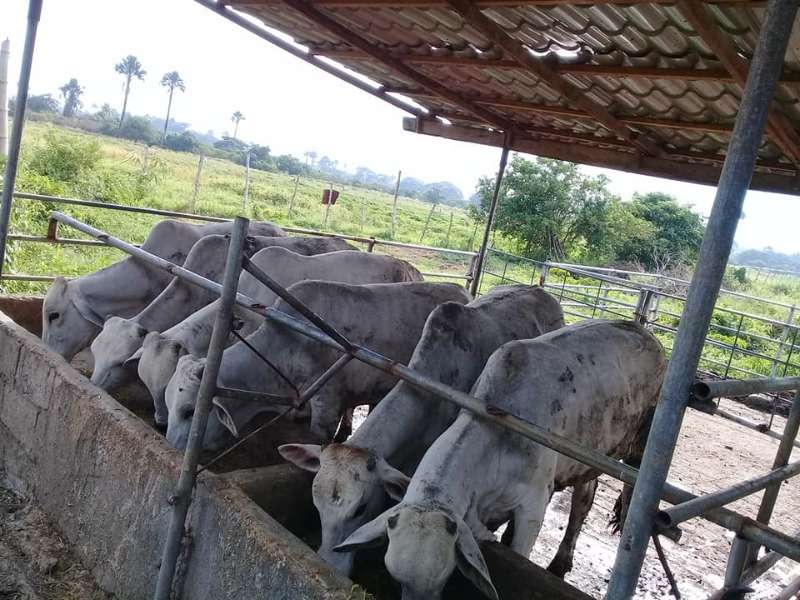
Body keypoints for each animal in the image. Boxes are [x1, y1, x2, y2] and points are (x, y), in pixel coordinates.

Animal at [334, 320, 666, 600]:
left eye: (444, 577)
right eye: (395, 577)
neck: (497, 431)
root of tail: (648, 334)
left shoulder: (533, 506)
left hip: (640, 445)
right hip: (591, 455)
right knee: (584, 497)